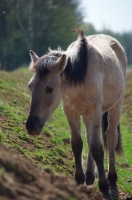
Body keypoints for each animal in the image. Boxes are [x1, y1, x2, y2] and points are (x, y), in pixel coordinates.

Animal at [25, 28, 127, 200]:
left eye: (49, 89)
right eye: (30, 86)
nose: (31, 126)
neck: (80, 76)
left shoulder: (95, 110)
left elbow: (97, 148)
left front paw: (104, 188)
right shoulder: (70, 111)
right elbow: (77, 144)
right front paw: (80, 181)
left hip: (115, 107)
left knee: (111, 137)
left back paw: (112, 184)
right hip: (86, 115)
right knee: (90, 137)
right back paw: (90, 178)